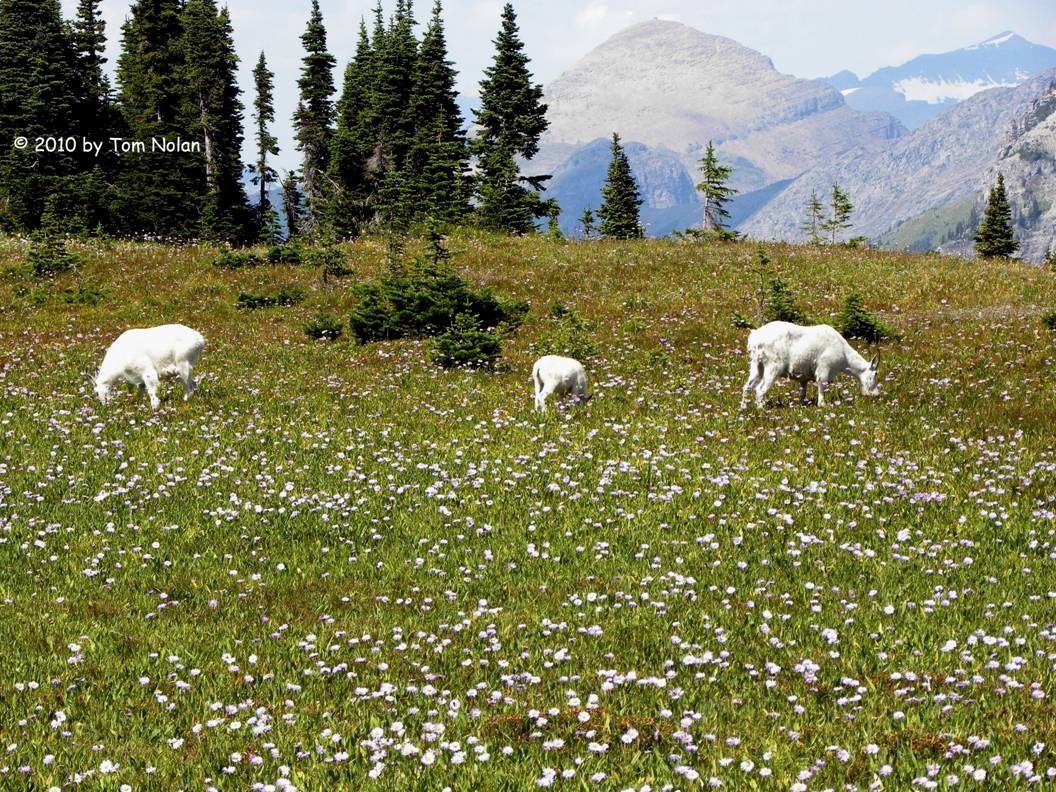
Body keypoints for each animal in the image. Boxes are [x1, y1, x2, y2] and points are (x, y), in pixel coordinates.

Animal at [743, 321, 882, 411]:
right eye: (875, 374)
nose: (876, 394)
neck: (844, 355)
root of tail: (755, 340)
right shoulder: (824, 369)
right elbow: (822, 386)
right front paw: (822, 405)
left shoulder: (803, 377)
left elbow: (802, 392)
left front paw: (801, 405)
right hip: (773, 366)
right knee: (760, 389)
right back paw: (762, 410)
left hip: (757, 364)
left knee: (748, 386)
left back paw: (743, 408)